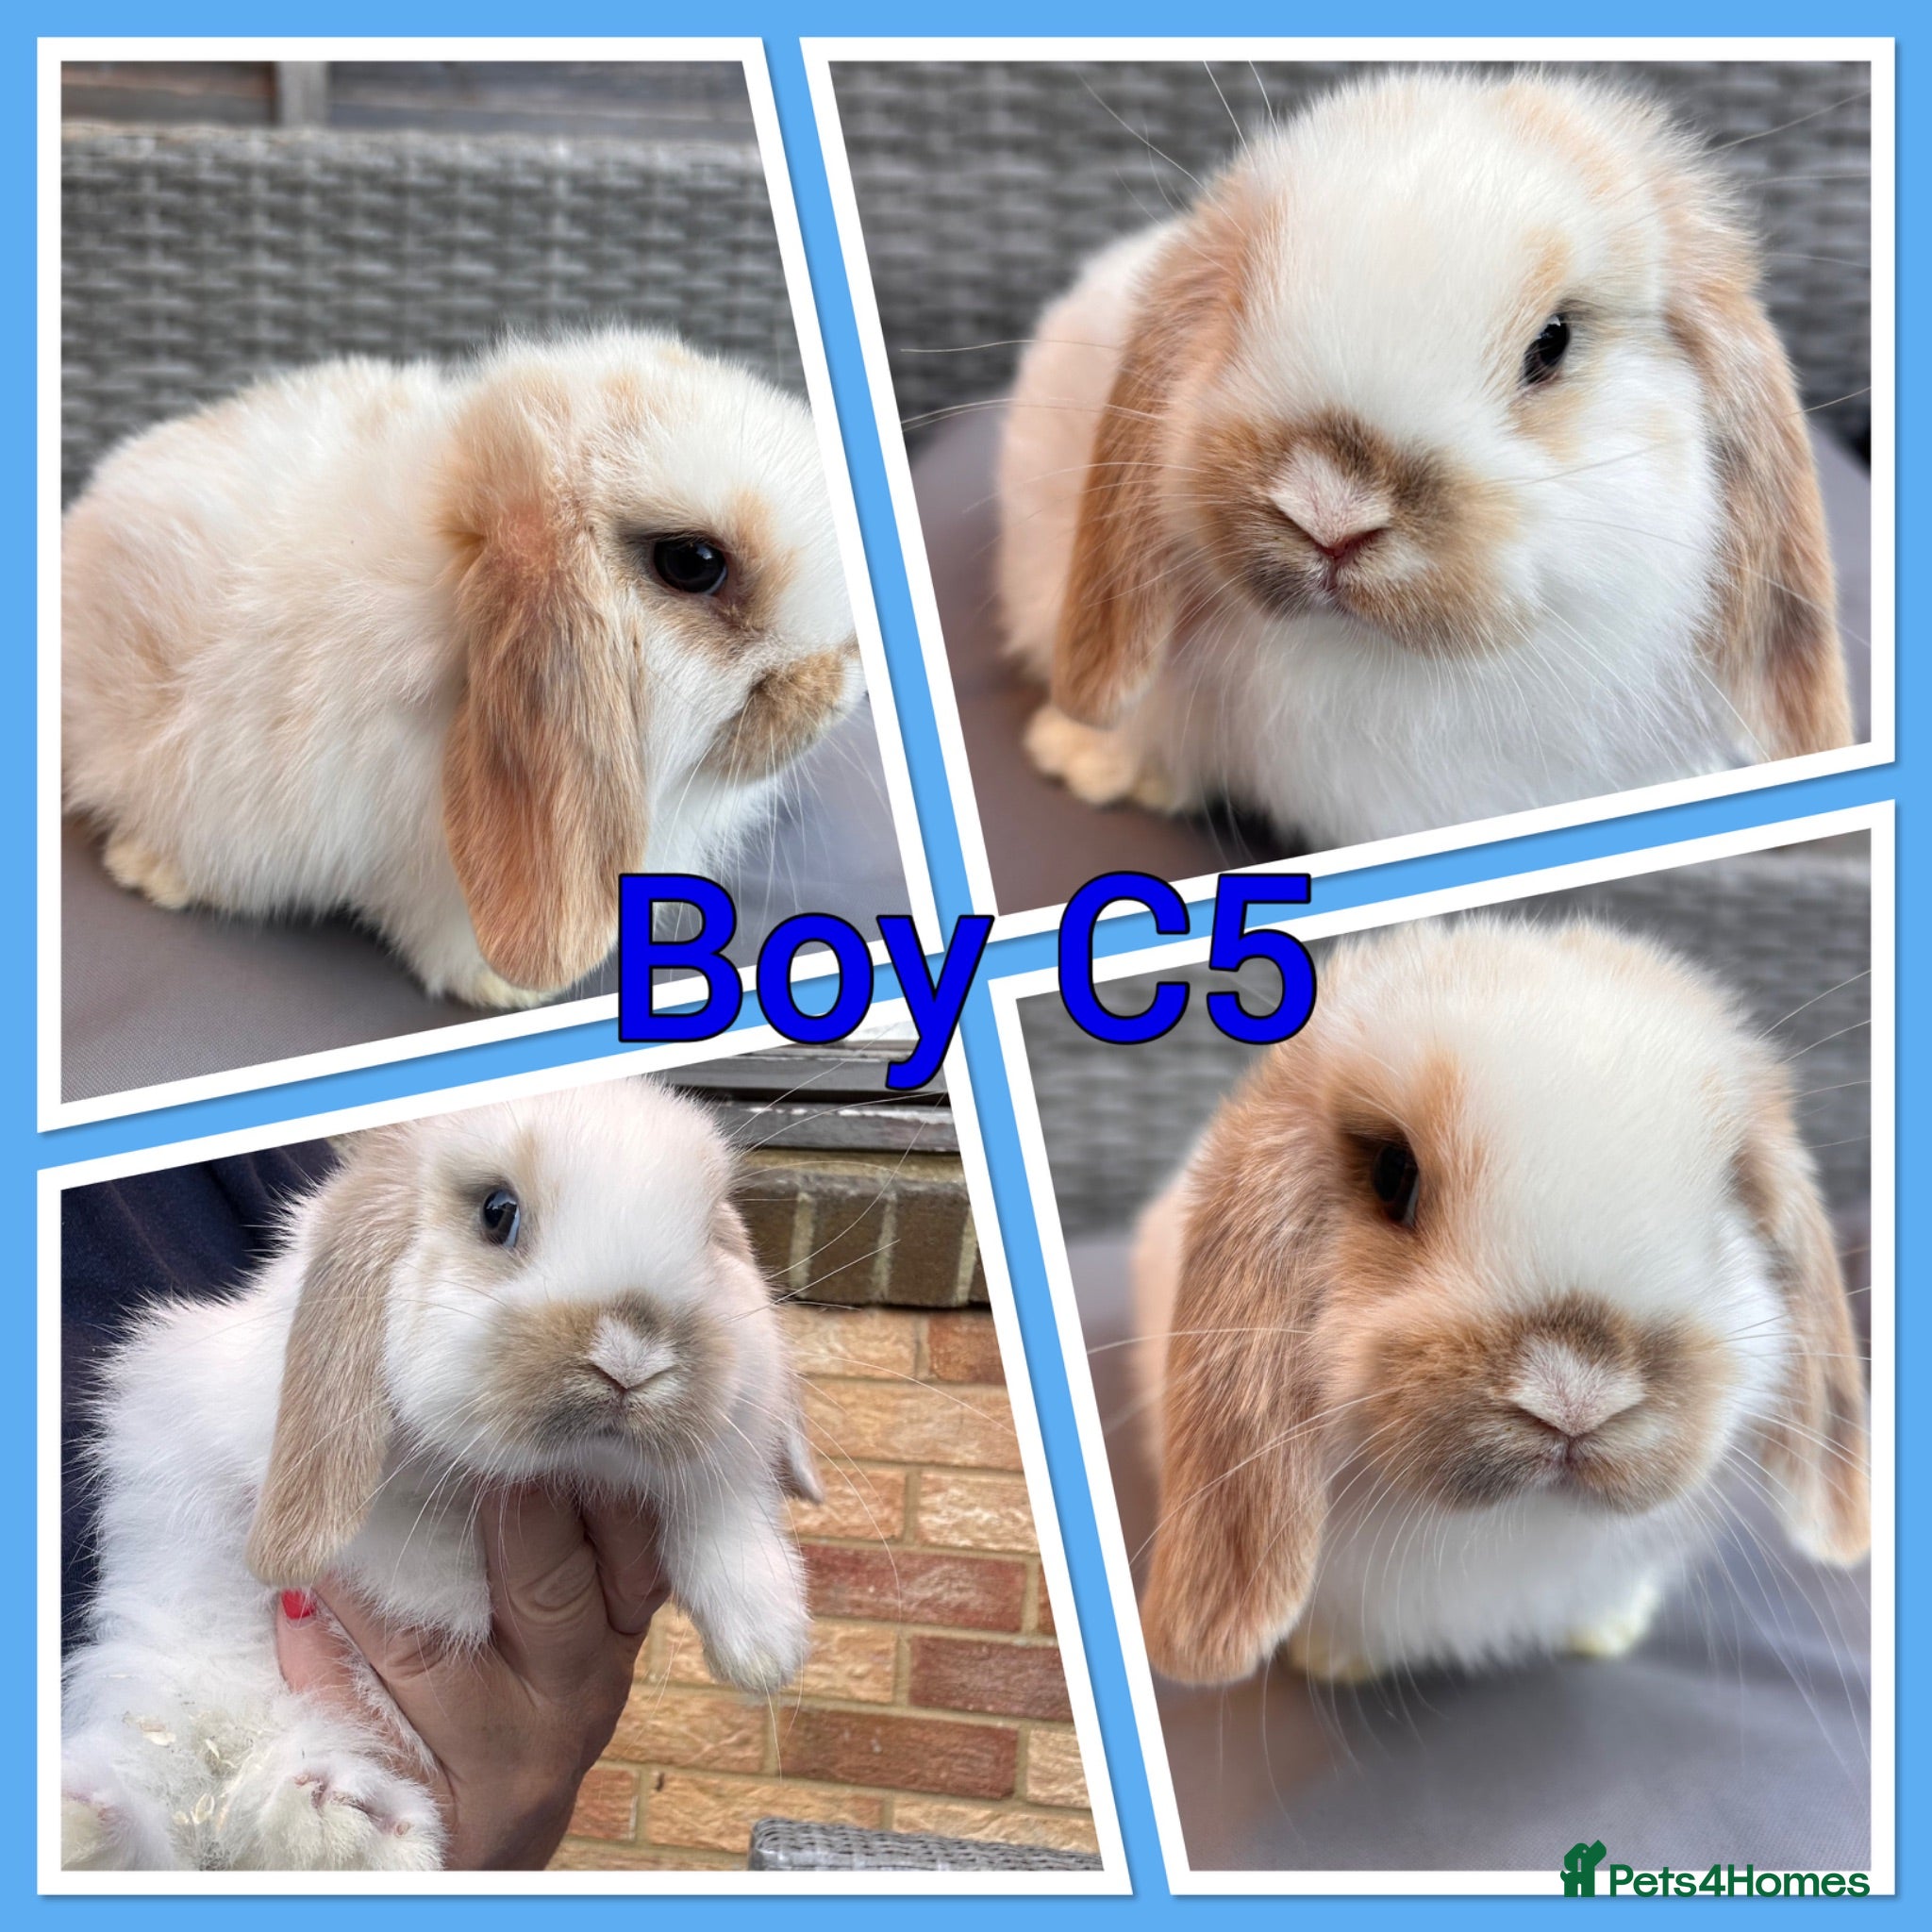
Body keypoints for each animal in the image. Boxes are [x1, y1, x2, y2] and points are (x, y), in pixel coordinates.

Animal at [60, 1079, 821, 1871]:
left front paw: (766, 1647)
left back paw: (342, 1819)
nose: (631, 1357)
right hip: (158, 1695)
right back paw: (94, 1818)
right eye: (497, 1212)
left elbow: (718, 1496)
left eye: (708, 1232)